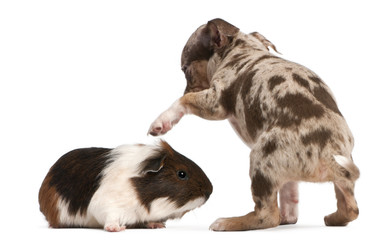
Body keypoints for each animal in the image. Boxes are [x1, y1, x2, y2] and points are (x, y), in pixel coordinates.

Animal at [147, 18, 360, 231]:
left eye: (185, 69)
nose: (185, 88)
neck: (244, 49)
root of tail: (329, 154)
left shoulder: (215, 103)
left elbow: (184, 100)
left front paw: (161, 122)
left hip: (261, 160)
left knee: (267, 216)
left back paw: (228, 222)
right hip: (333, 177)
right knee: (346, 208)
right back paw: (325, 218)